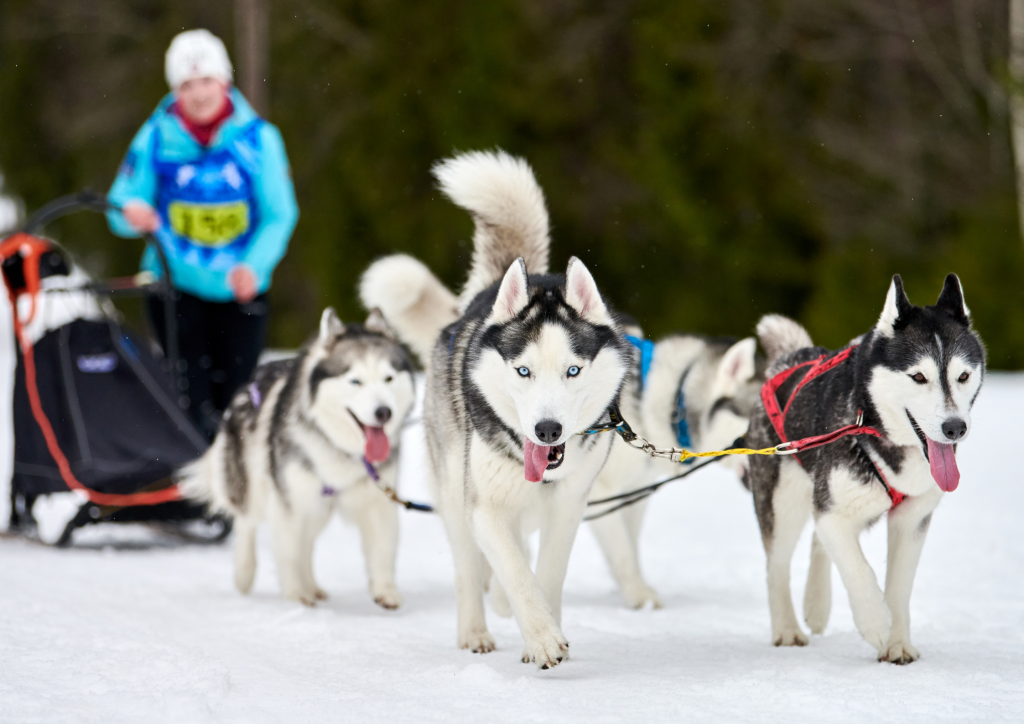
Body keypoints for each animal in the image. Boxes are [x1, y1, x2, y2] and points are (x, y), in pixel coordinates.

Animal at [182, 309, 413, 610]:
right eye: (355, 381)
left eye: (388, 379)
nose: (383, 412)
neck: (341, 448)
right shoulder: (289, 502)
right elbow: (288, 552)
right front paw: (294, 596)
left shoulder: (377, 501)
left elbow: (383, 549)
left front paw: (385, 590)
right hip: (257, 487)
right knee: (246, 521)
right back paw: (245, 573)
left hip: (318, 507)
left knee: (307, 543)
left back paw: (312, 586)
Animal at [360, 150, 630, 671]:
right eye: (523, 371)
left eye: (572, 370)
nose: (547, 430)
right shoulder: (483, 507)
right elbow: (516, 572)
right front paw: (542, 639)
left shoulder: (568, 508)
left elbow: (545, 574)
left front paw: (543, 629)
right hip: (453, 494)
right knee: (468, 568)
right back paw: (475, 632)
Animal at [749, 276, 987, 663]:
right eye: (918, 376)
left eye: (963, 376)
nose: (955, 428)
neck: (872, 425)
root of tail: (786, 360)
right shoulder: (834, 512)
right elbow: (858, 568)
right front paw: (876, 622)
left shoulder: (911, 518)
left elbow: (899, 586)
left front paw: (898, 644)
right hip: (784, 500)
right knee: (777, 565)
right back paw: (786, 629)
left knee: (817, 541)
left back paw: (816, 605)